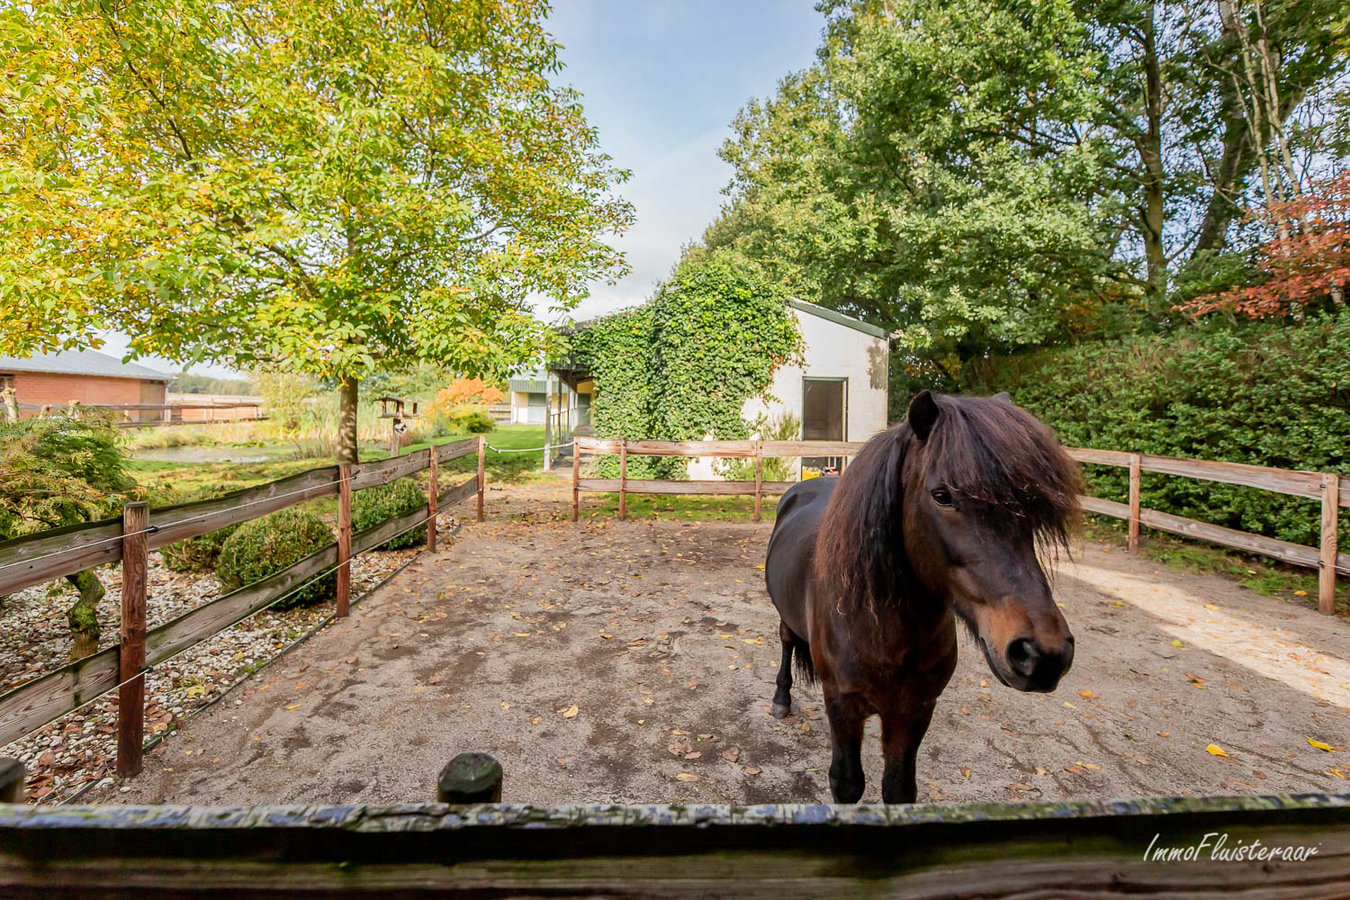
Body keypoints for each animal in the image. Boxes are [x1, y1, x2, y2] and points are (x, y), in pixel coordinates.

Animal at [766, 388, 1080, 804]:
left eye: (1030, 505)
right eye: (942, 495)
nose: (1042, 653)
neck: (881, 628)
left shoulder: (915, 710)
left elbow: (899, 788)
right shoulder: (843, 704)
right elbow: (847, 783)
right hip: (785, 620)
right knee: (786, 642)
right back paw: (781, 699)